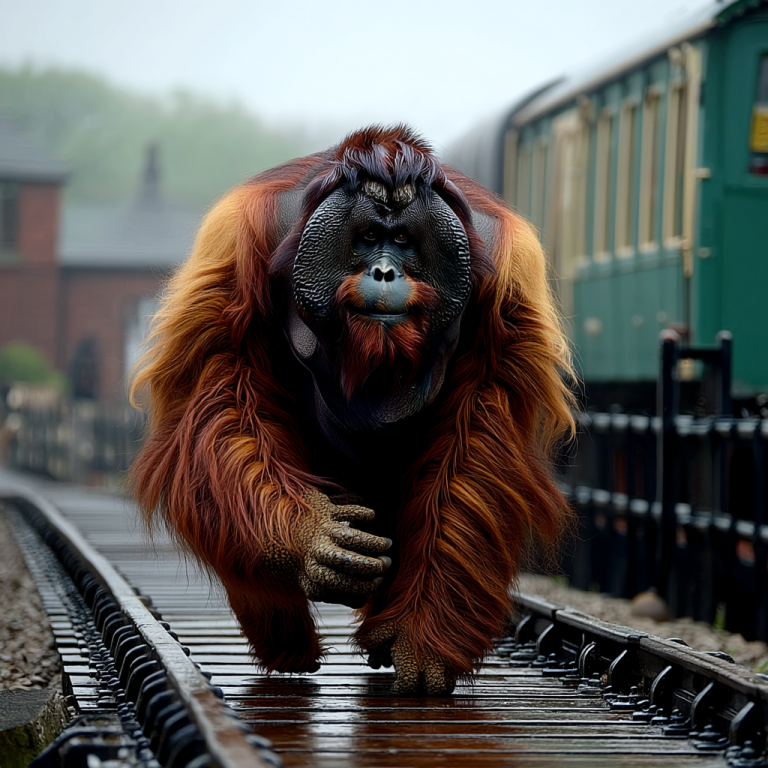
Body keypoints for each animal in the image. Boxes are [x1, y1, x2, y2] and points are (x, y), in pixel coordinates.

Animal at [129, 125, 574, 696]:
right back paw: (284, 639)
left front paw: (420, 646)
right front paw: (313, 541)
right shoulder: (238, 243)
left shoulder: (508, 280)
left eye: (403, 241)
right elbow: (228, 397)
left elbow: (474, 443)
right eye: (365, 237)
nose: (384, 271)